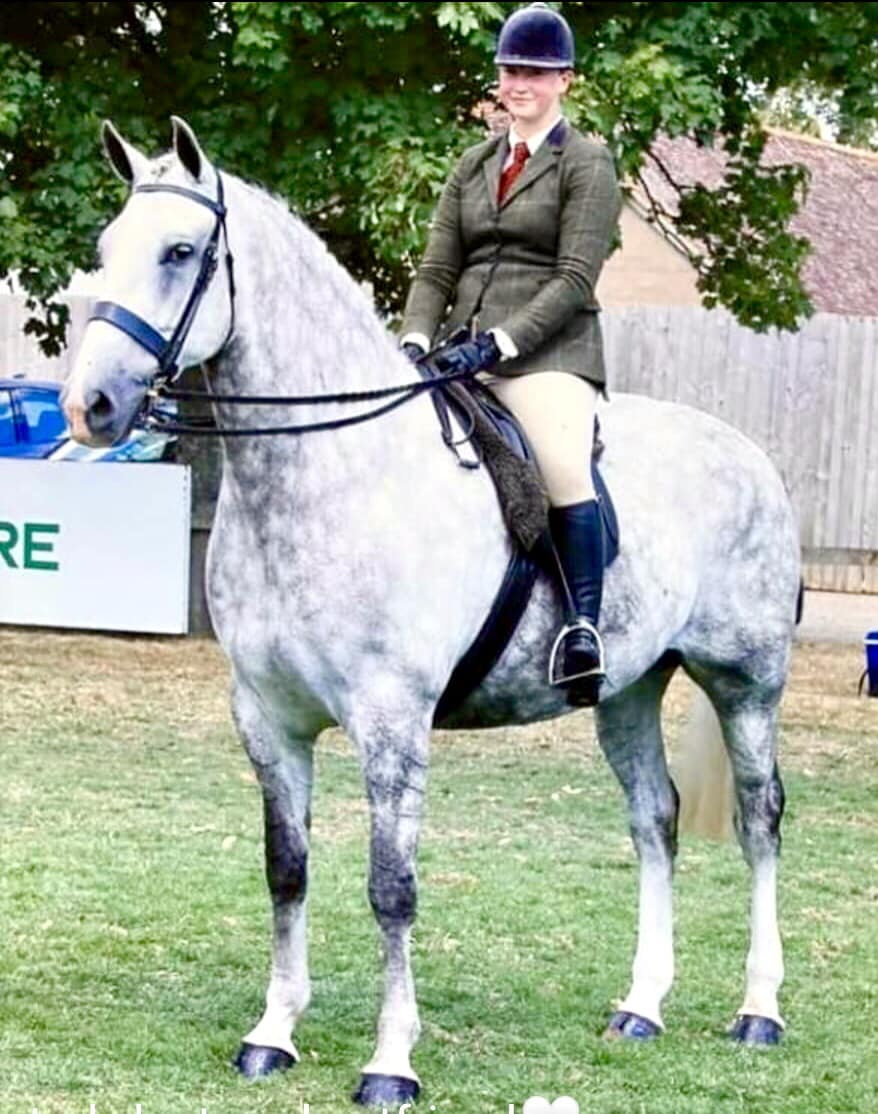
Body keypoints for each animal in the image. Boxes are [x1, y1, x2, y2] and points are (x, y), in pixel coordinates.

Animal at [62, 118, 801, 1106]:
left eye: (181, 252)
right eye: (107, 250)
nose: (91, 406)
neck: (329, 476)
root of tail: (748, 454)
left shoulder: (391, 720)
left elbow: (391, 887)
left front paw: (390, 1061)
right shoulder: (267, 718)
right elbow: (287, 870)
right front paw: (273, 1033)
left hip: (745, 682)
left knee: (759, 819)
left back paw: (759, 1011)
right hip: (628, 690)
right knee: (655, 818)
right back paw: (642, 1007)